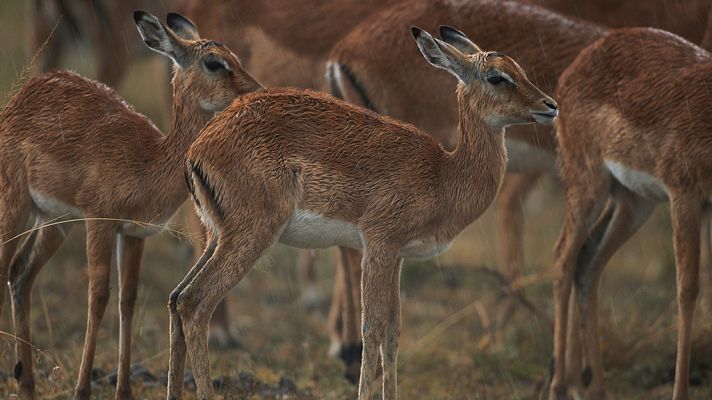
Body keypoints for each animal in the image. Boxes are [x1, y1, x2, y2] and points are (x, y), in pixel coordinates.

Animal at [0, 10, 260, 398]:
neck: (148, 160)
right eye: (214, 62)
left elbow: (128, 301)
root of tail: (22, 94)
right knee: (6, 267)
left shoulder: (134, 233)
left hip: (54, 220)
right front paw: (82, 388)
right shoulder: (99, 222)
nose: (255, 90)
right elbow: (98, 297)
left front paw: (123, 390)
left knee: (20, 272)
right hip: (16, 204)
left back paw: (26, 383)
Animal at [171, 26, 556, 398]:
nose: (550, 105)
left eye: (519, 69)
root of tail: (198, 147)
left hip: (219, 237)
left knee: (176, 298)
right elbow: (371, 329)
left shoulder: (398, 256)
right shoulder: (378, 245)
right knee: (194, 303)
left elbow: (393, 332)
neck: (444, 173)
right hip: (252, 236)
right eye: (497, 77)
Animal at [552, 26, 708, 398]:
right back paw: (559, 386)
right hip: (588, 184)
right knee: (563, 257)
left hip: (634, 201)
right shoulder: (685, 194)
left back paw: (592, 387)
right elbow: (687, 289)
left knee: (588, 262)